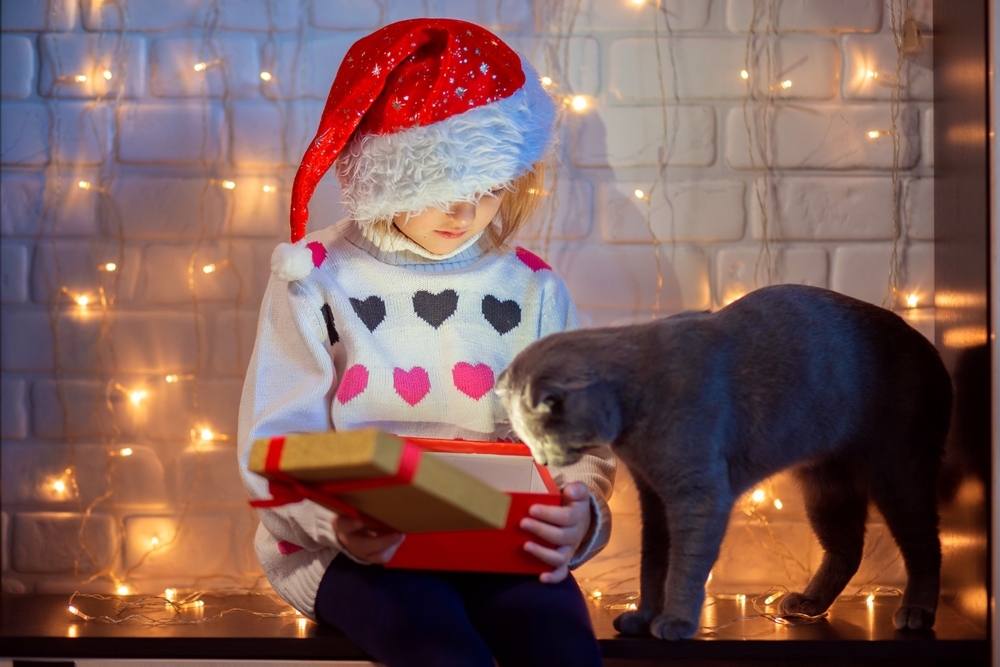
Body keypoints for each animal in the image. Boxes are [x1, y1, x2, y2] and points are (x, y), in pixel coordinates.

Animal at [500, 284, 952, 640]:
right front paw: (644, 617)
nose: (540, 458)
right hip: (826, 486)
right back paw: (808, 601)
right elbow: (653, 564)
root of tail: (933, 351)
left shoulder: (699, 496)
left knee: (927, 546)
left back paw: (917, 612)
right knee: (847, 548)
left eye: (539, 434)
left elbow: (684, 565)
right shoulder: (656, 498)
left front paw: (676, 622)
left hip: (898, 473)